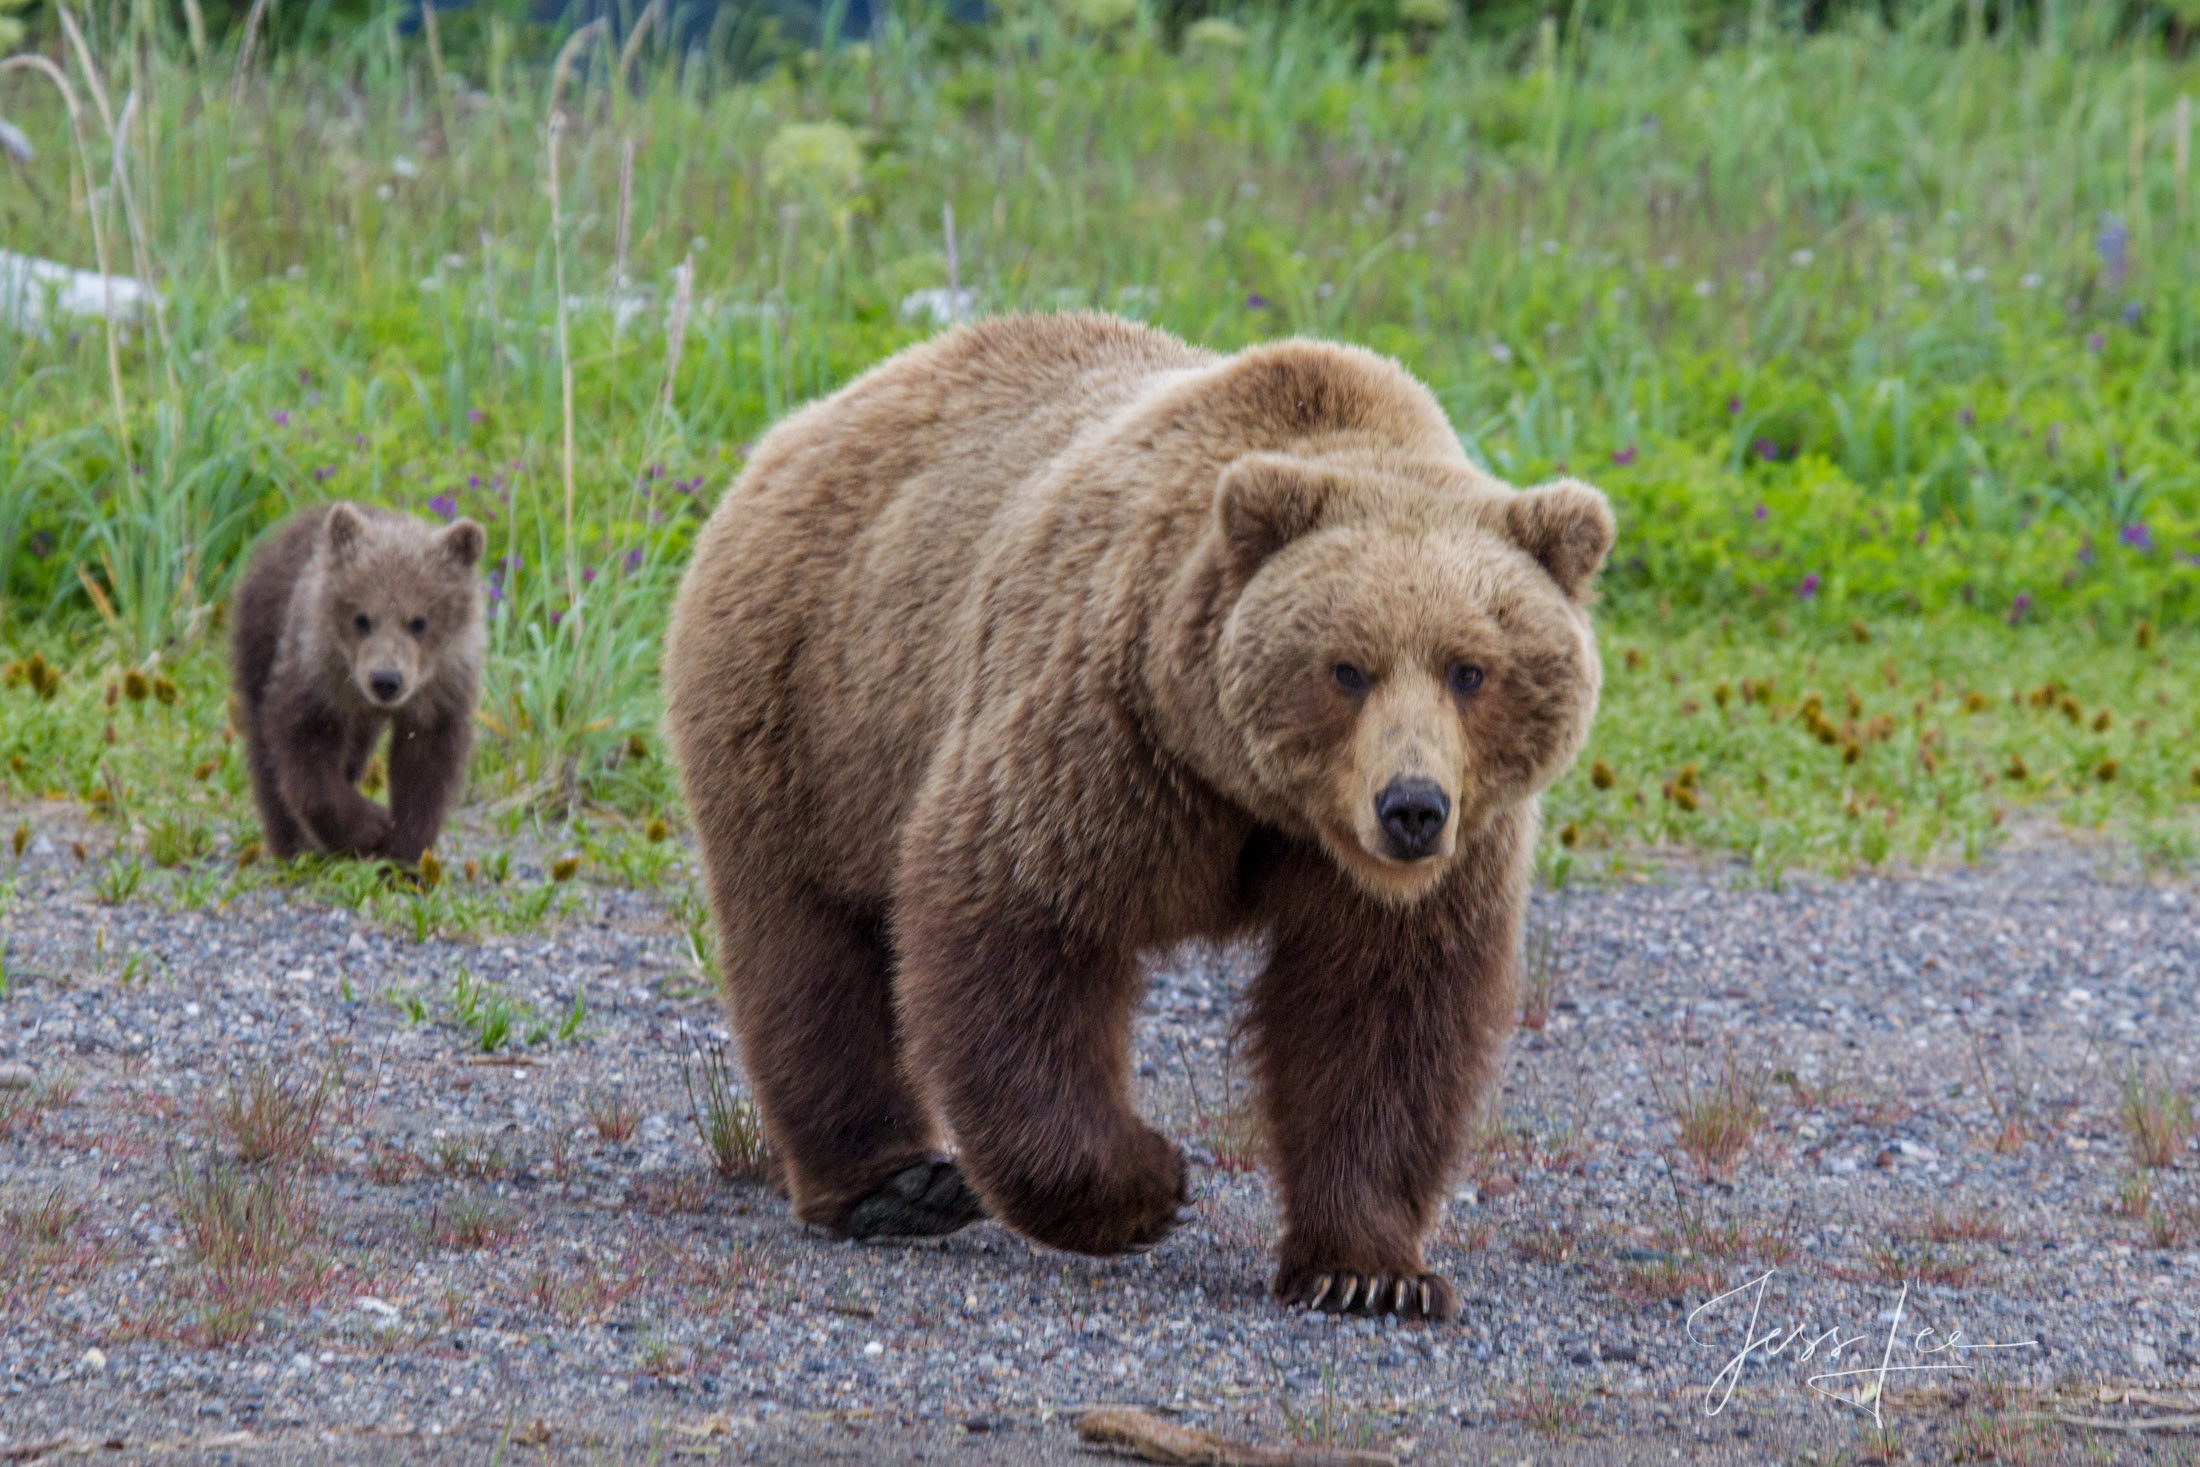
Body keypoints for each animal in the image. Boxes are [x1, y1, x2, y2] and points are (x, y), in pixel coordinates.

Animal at [660, 316, 1610, 1328]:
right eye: (1347, 668)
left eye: (1472, 669)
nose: (1412, 807)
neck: (1253, 792)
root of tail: (803, 422)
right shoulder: (1107, 733)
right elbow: (1016, 928)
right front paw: (1144, 1185)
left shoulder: (1414, 863)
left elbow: (1381, 1013)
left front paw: (1371, 1271)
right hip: (810, 713)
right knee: (807, 948)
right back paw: (892, 1183)